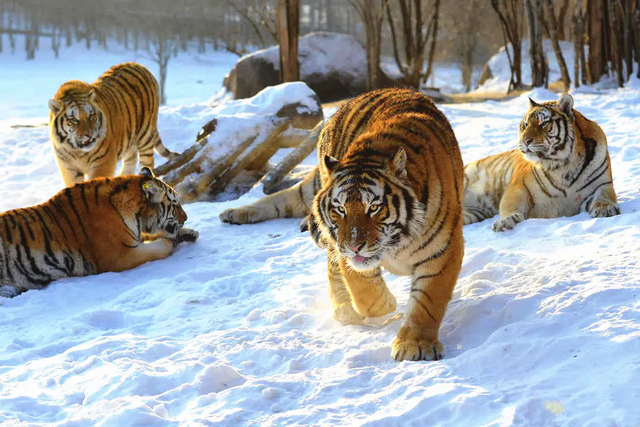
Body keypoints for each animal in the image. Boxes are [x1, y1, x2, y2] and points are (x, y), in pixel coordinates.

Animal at [0, 166, 198, 298]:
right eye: (175, 205)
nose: (186, 217)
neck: (137, 213)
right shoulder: (121, 255)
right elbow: (159, 247)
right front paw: (170, 241)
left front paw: (189, 233)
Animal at [47, 61, 179, 188]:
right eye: (74, 120)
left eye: (91, 116)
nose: (90, 135)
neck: (78, 152)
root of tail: (140, 65)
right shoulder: (69, 168)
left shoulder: (102, 163)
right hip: (129, 140)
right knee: (131, 160)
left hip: (145, 135)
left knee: (148, 164)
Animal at [460, 93, 620, 231]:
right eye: (525, 125)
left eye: (543, 123)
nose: (524, 141)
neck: (564, 165)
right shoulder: (517, 186)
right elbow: (509, 204)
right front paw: (505, 221)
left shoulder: (603, 184)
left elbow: (604, 196)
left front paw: (605, 208)